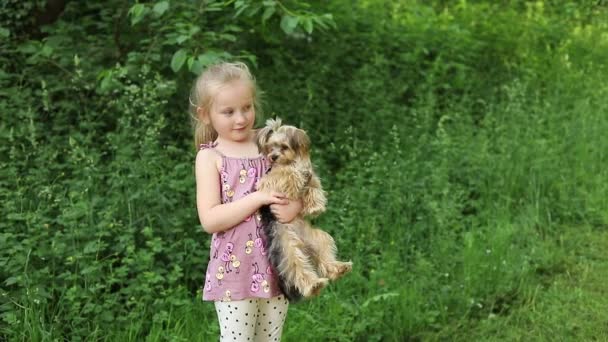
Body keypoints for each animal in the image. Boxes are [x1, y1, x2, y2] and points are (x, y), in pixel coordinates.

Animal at [255, 119, 352, 300]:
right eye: (271, 147)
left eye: (284, 147)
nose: (273, 157)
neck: (291, 161)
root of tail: (304, 244)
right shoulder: (267, 182)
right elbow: (286, 173)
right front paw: (294, 175)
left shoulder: (311, 177)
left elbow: (314, 187)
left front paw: (315, 207)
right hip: (288, 248)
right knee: (298, 268)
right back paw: (313, 285)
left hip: (320, 238)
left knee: (324, 258)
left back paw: (339, 268)